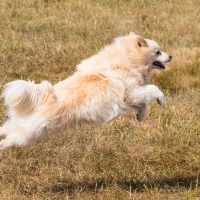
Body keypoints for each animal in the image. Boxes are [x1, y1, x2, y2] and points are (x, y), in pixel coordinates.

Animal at [0, 31, 172, 150]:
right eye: (158, 52)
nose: (170, 56)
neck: (129, 60)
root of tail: (44, 96)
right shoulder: (131, 93)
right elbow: (154, 89)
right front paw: (161, 99)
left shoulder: (134, 96)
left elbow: (143, 103)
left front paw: (140, 116)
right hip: (29, 134)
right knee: (8, 140)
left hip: (22, 124)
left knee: (4, 129)